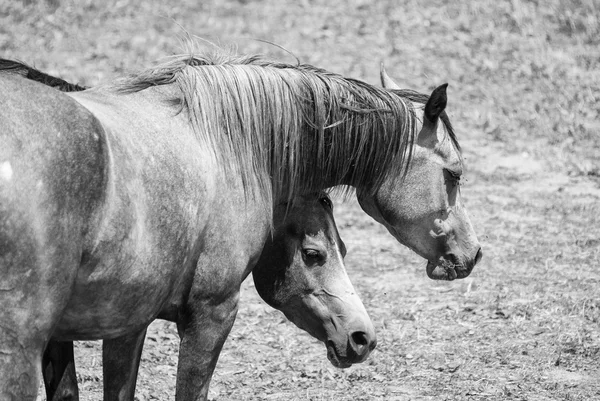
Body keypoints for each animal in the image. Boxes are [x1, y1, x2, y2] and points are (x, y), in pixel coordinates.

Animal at [0, 50, 478, 400]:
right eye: (453, 174)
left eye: (344, 249)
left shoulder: (126, 324)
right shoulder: (212, 313)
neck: (228, 147)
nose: (472, 254)